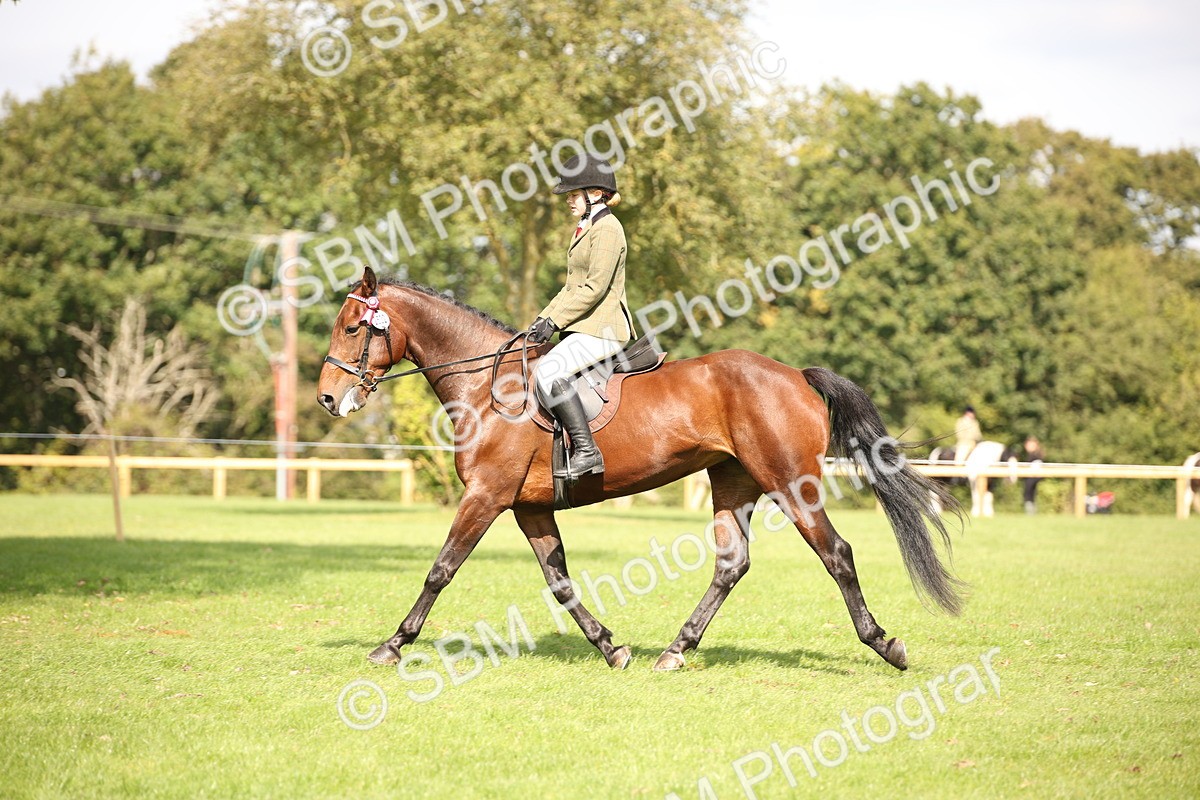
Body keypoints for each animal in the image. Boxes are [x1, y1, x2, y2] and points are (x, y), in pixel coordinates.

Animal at [317, 267, 964, 672]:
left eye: (352, 328)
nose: (327, 399)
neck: (487, 385)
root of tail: (795, 375)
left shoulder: (487, 495)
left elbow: (440, 570)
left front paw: (393, 644)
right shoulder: (528, 506)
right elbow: (560, 582)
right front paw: (610, 648)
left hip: (788, 483)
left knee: (837, 554)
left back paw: (884, 644)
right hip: (734, 482)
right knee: (732, 565)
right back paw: (676, 649)